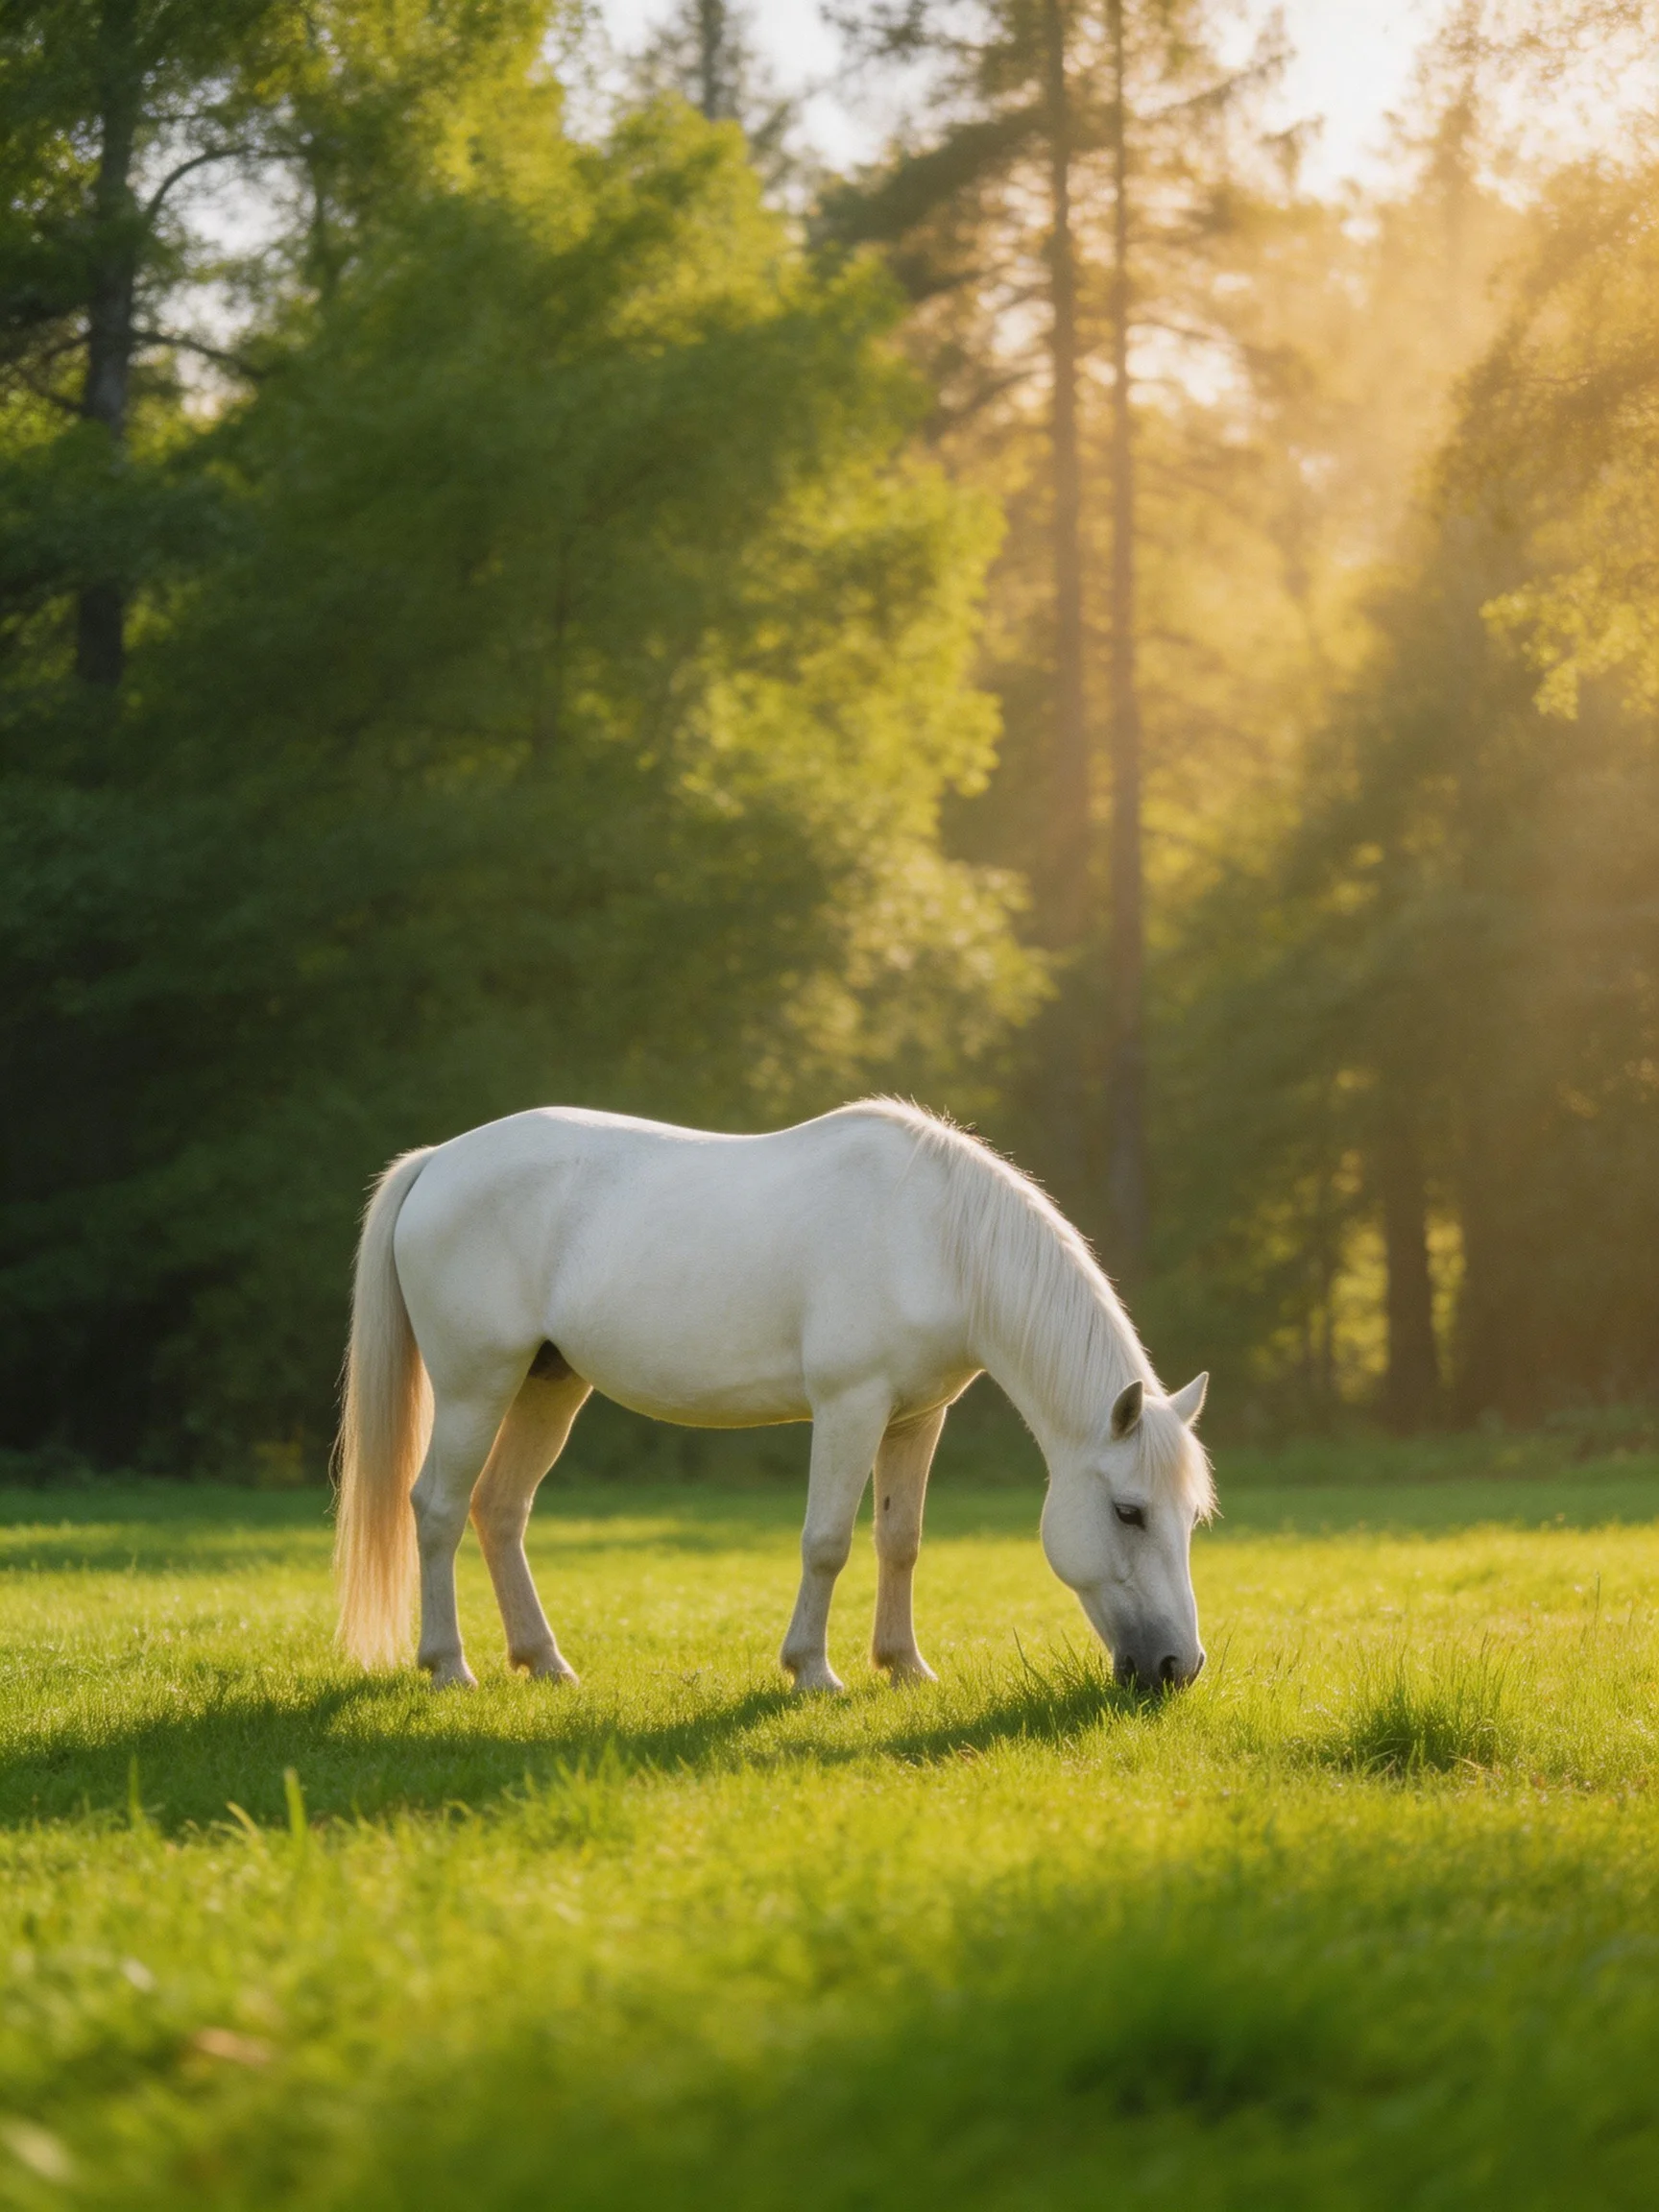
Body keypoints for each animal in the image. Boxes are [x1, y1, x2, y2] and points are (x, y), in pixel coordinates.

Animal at [333, 1099, 1214, 1693]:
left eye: (1191, 1516)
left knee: (501, 1510)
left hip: (547, 1388)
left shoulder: (917, 1418)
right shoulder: (850, 1407)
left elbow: (901, 1541)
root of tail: (439, 1161)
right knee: (438, 1509)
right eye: (1128, 1512)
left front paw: (904, 1666)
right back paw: (449, 1666)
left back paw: (545, 1662)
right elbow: (827, 1541)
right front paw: (812, 1671)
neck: (935, 1236)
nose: (1178, 1665)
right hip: (475, 1386)